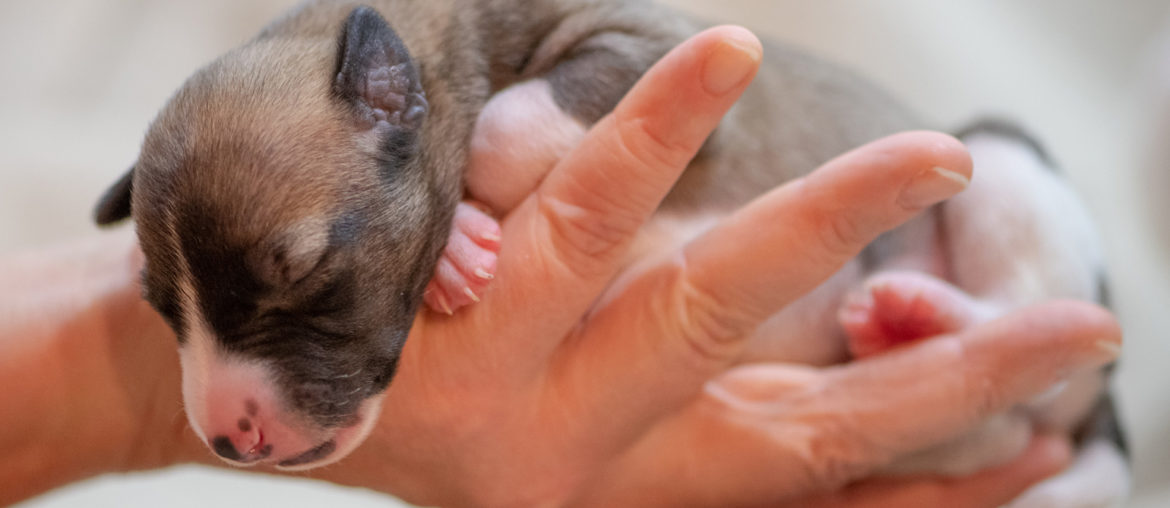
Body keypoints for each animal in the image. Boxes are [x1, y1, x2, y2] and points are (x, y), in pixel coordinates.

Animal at [93, 0, 1123, 500]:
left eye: (301, 277)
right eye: (159, 307)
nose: (230, 439)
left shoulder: (654, 40)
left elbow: (505, 126)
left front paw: (466, 228)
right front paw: (458, 242)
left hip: (1004, 164)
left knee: (1035, 325)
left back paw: (930, 310)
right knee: (1004, 427)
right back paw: (907, 329)